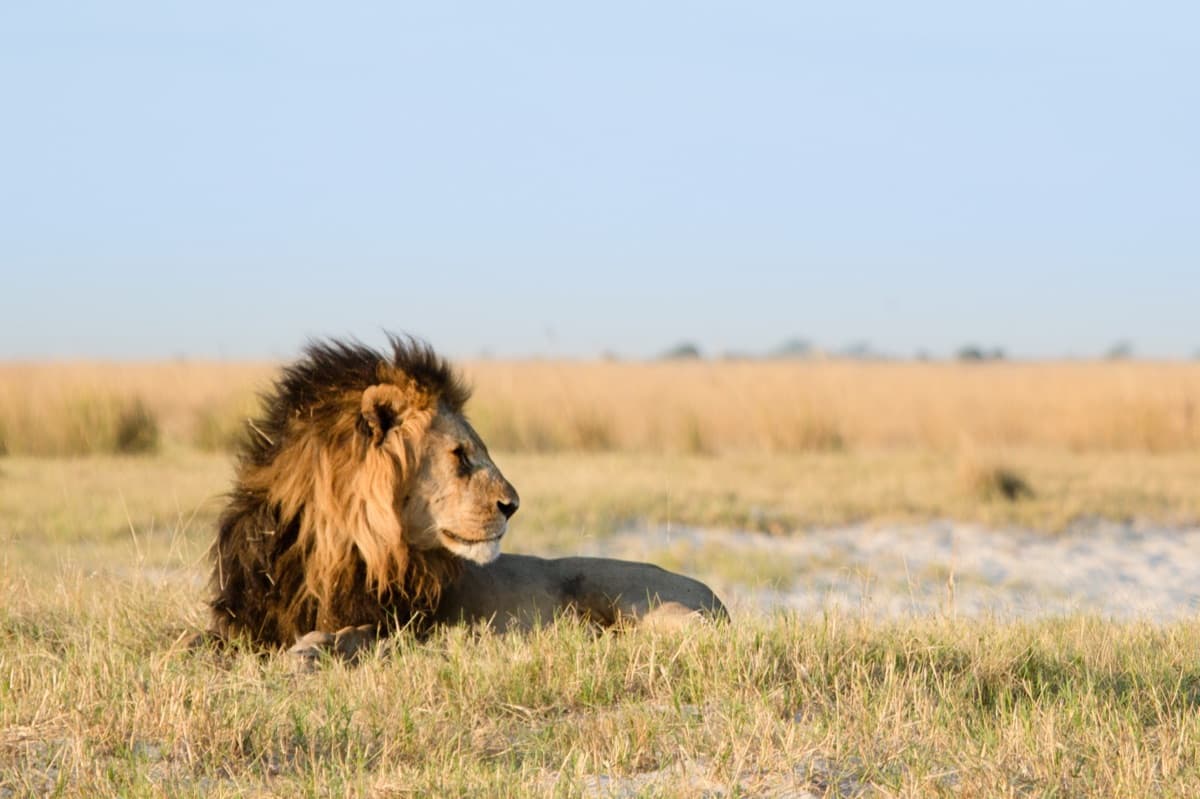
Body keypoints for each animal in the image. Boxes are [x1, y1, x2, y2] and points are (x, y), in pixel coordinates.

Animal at [207, 335, 726, 655]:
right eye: (460, 454)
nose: (513, 506)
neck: (333, 543)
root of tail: (714, 594)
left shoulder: (407, 626)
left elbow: (356, 636)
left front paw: (312, 650)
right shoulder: (242, 620)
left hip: (628, 593)